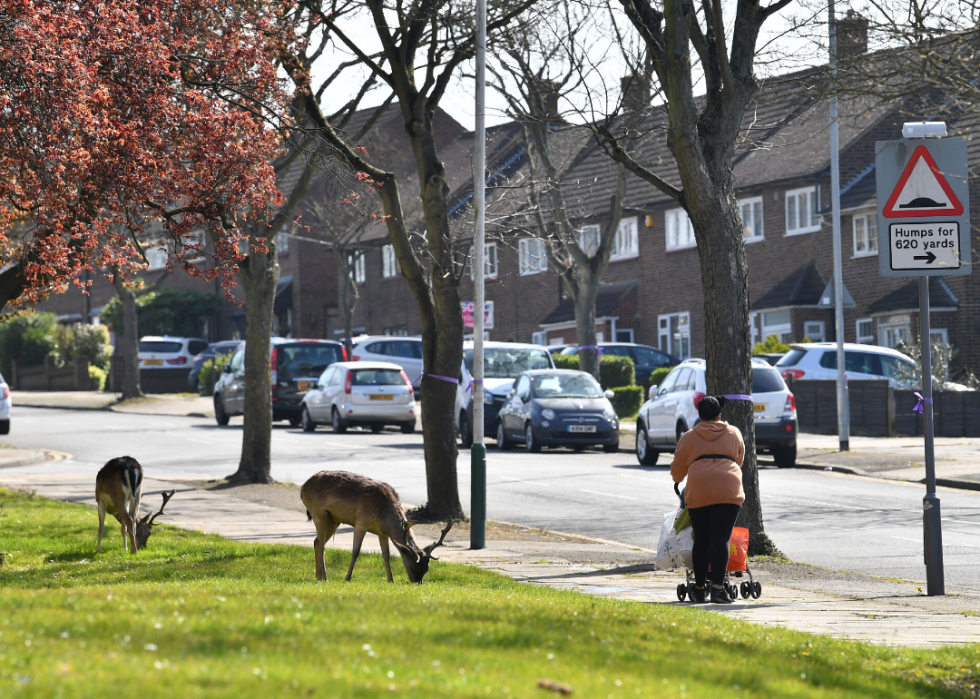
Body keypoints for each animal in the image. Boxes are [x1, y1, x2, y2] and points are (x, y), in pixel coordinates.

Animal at [300, 470, 454, 584]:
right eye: (413, 566)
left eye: (426, 568)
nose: (417, 582)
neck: (385, 513)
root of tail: (302, 488)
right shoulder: (361, 522)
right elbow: (355, 551)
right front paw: (347, 578)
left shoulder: (383, 533)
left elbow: (386, 555)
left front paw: (391, 580)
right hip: (319, 514)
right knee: (321, 545)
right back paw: (325, 577)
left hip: (333, 520)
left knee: (316, 542)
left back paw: (318, 576)